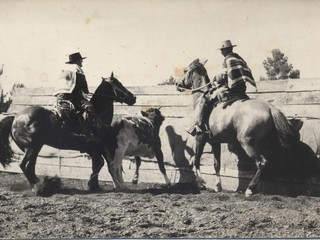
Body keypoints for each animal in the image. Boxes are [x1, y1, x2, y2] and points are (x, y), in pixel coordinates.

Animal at [0, 72, 136, 192]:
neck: (97, 116)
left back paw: (39, 185)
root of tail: (15, 117)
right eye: (118, 83)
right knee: (24, 166)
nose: (133, 97)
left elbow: (98, 164)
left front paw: (94, 185)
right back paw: (39, 187)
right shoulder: (92, 148)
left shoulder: (96, 149)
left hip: (35, 148)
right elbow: (99, 164)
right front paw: (92, 185)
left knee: (30, 167)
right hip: (32, 147)